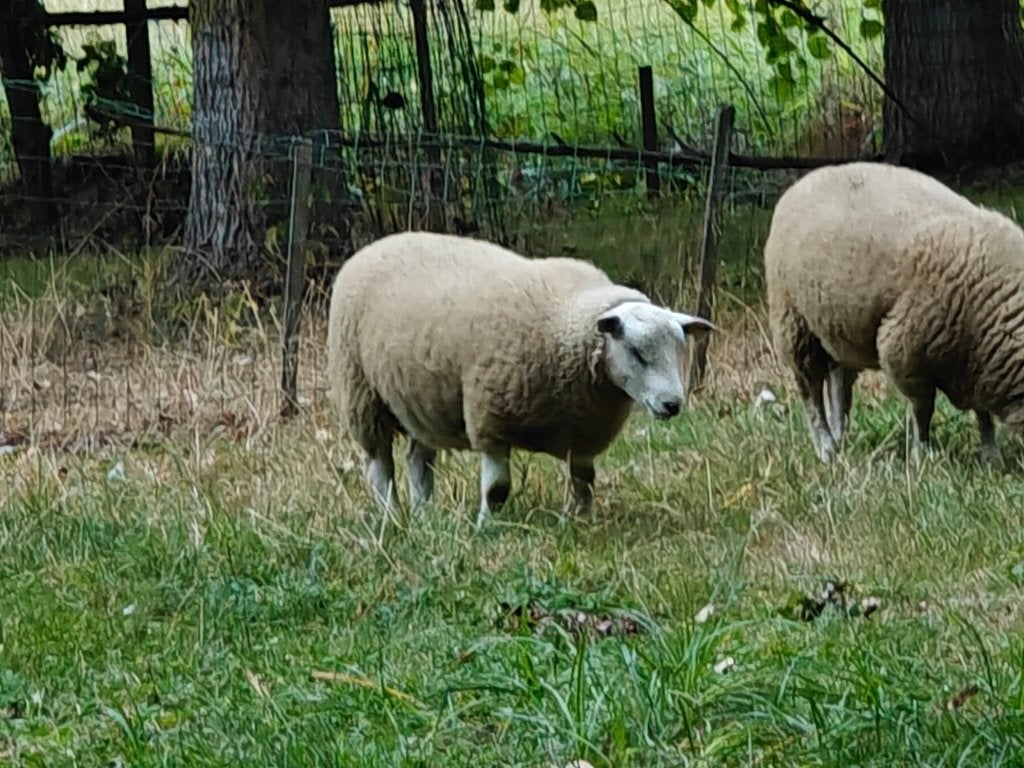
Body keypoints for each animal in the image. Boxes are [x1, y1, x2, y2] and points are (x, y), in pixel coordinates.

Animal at [326, 231, 716, 526]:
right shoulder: (491, 421)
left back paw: (425, 514)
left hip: (421, 399)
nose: (672, 404)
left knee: (418, 460)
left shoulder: (582, 435)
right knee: (380, 467)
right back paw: (392, 517)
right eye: (636, 352)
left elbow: (585, 481)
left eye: (679, 350)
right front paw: (487, 527)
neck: (565, 326)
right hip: (361, 393)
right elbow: (497, 489)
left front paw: (582, 521)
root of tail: (378, 244)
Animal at [765, 160, 1024, 464]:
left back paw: (840, 439)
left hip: (837, 328)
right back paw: (826, 448)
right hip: (794, 322)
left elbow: (982, 412)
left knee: (839, 384)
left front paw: (991, 456)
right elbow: (923, 410)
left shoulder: (973, 362)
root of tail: (805, 180)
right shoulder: (905, 353)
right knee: (810, 390)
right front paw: (921, 454)